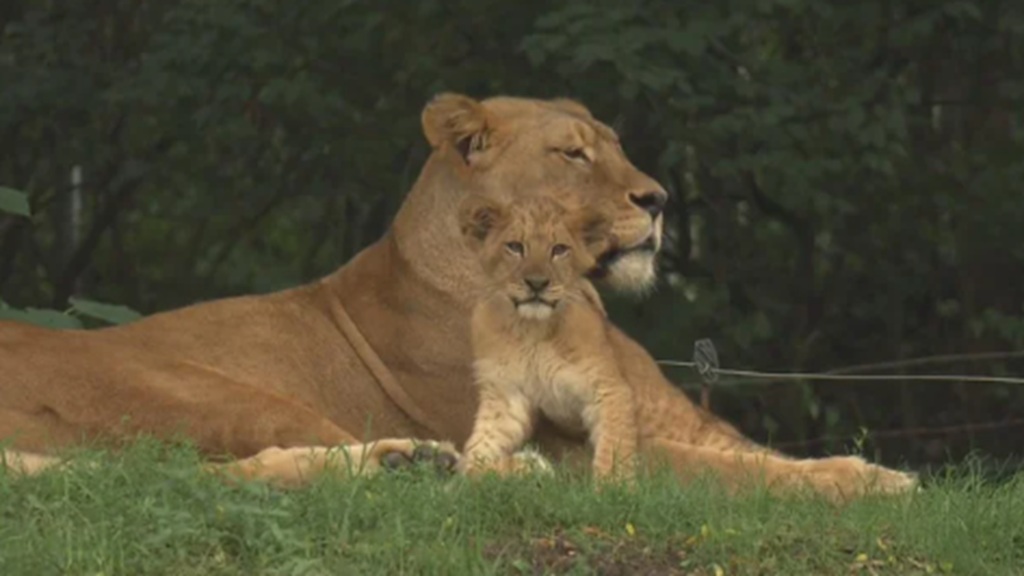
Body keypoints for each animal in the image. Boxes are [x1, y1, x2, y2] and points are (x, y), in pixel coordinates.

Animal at [457, 195, 637, 480]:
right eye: (515, 247)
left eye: (559, 249)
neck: (532, 330)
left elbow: (615, 447)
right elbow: (479, 451)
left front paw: (612, 487)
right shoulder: (505, 394)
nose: (537, 283)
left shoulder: (608, 389)